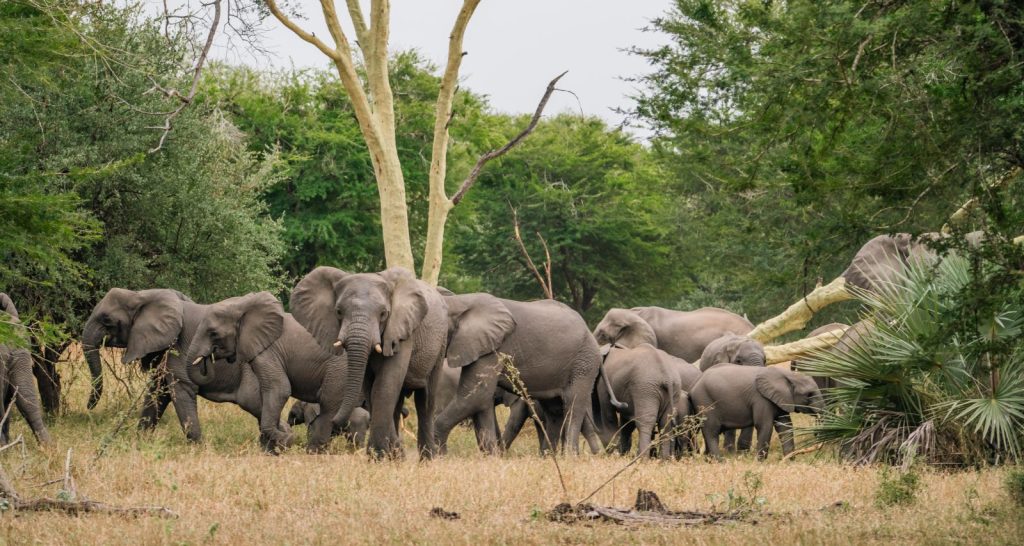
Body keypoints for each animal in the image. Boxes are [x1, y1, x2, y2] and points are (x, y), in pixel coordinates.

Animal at [82, 287, 287, 443]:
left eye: (106, 320)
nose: (89, 407)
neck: (141, 295)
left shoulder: (177, 349)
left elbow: (180, 391)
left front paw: (198, 449)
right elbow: (157, 393)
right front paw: (139, 442)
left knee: (255, 402)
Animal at [184, 291, 348, 453]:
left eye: (213, 333)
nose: (209, 356)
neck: (242, 305)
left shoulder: (268, 351)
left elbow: (279, 388)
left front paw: (285, 441)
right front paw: (272, 448)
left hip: (338, 370)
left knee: (329, 404)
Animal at [290, 267, 448, 459]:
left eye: (383, 314)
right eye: (338, 311)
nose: (335, 421)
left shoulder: (401, 332)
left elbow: (385, 384)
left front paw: (379, 456)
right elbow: (371, 387)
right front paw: (381, 456)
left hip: (440, 345)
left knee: (425, 401)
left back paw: (426, 460)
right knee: (397, 403)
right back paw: (398, 456)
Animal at [433, 293, 610, 455]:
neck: (459, 302)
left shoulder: (493, 348)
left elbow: (476, 395)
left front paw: (439, 454)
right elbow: (480, 399)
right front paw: (491, 456)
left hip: (583, 363)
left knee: (573, 405)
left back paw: (569, 457)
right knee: (555, 409)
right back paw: (548, 456)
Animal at [690, 364, 824, 459]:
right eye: (809, 395)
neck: (788, 375)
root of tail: (695, 383)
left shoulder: (781, 399)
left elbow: (785, 426)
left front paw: (789, 460)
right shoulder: (761, 399)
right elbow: (764, 426)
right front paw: (760, 462)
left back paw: (709, 460)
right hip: (705, 402)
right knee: (711, 432)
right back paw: (720, 461)